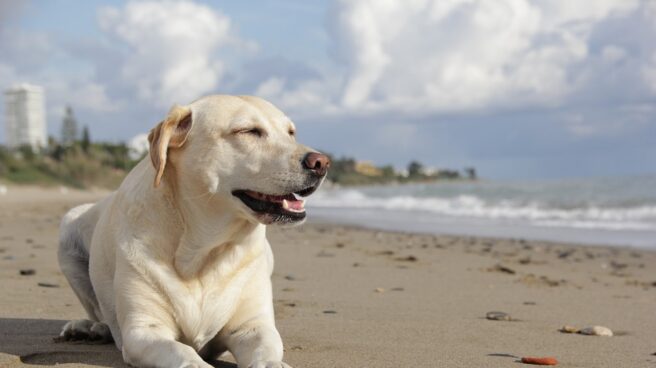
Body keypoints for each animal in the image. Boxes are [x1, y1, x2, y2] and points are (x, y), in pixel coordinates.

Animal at [57, 95, 330, 368]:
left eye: (291, 133)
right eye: (248, 131)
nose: (321, 162)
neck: (204, 252)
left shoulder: (253, 326)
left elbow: (266, 350)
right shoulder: (143, 331)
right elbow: (182, 352)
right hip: (68, 227)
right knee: (99, 313)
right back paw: (89, 328)